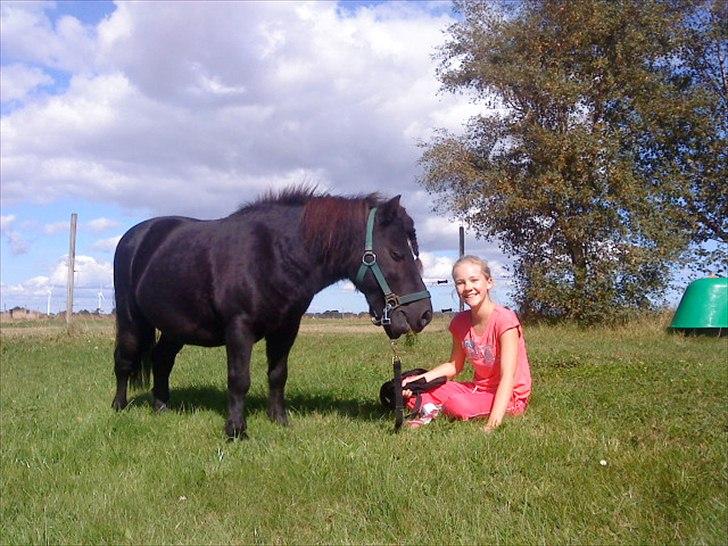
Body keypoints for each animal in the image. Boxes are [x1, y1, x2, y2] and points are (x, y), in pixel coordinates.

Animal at [111, 189, 432, 436]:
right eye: (396, 254)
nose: (424, 314)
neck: (272, 253)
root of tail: (137, 236)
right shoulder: (239, 328)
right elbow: (239, 379)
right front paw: (236, 430)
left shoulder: (286, 329)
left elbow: (278, 374)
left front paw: (279, 420)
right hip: (131, 320)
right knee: (124, 361)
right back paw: (119, 407)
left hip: (176, 328)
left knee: (161, 360)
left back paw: (161, 407)